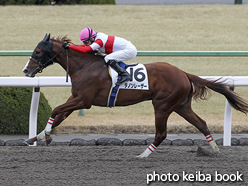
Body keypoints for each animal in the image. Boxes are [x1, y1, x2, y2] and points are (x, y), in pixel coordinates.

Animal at [23, 34, 248, 157]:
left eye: (37, 51)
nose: (26, 71)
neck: (84, 66)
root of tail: (183, 73)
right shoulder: (76, 99)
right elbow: (59, 117)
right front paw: (37, 137)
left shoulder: (83, 101)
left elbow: (56, 110)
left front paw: (45, 135)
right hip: (181, 105)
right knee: (201, 123)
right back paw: (214, 149)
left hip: (162, 105)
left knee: (161, 134)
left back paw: (143, 155)